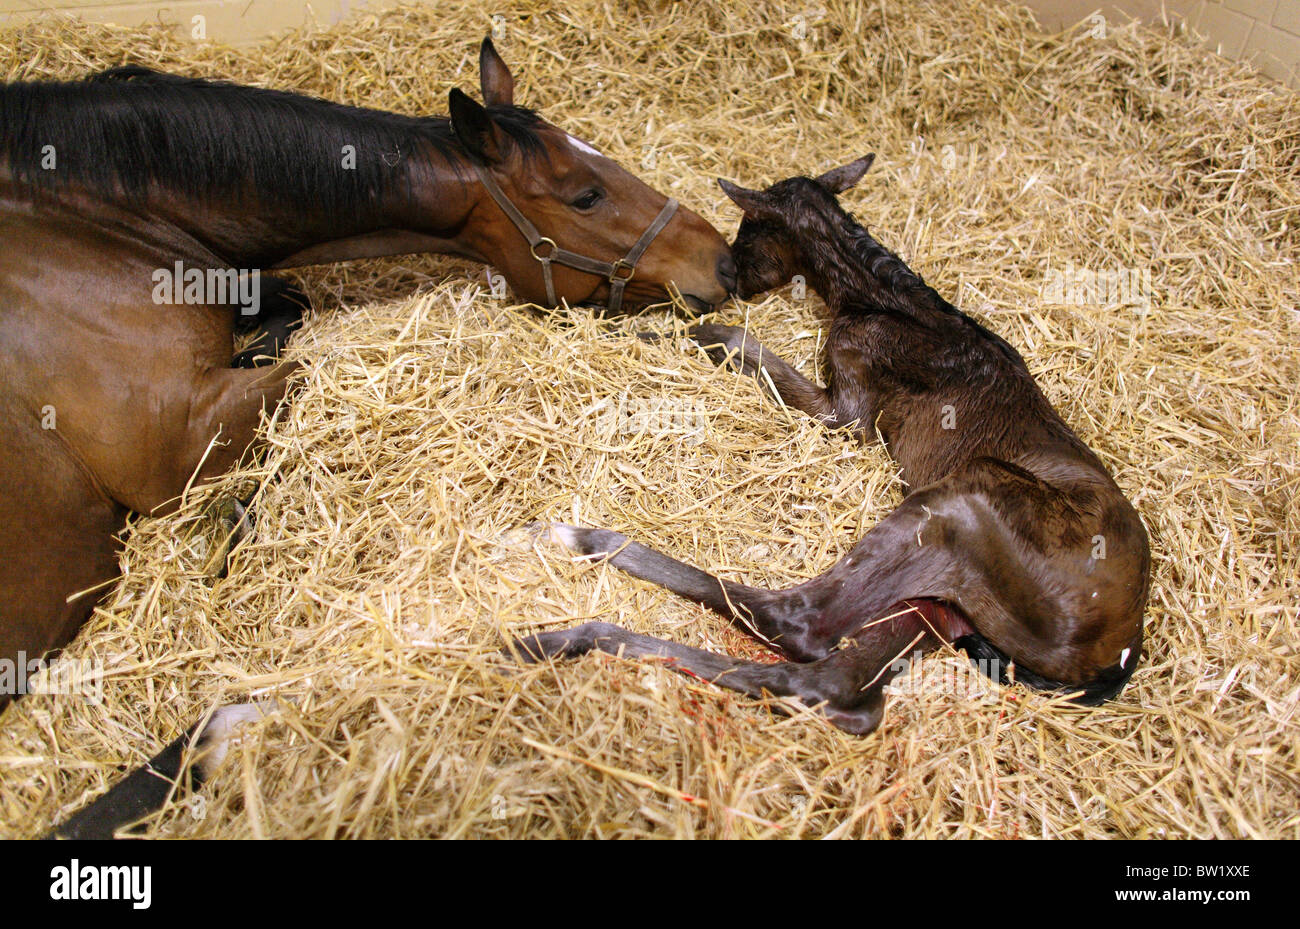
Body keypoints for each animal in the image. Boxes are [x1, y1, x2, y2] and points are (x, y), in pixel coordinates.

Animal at [506, 157, 1149, 732]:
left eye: (748, 228)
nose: (732, 275)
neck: (872, 299)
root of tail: (1118, 654)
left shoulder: (848, 409)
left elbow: (743, 347)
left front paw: (663, 331)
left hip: (968, 497)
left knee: (801, 623)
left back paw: (573, 545)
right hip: (944, 596)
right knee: (840, 687)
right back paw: (558, 639)